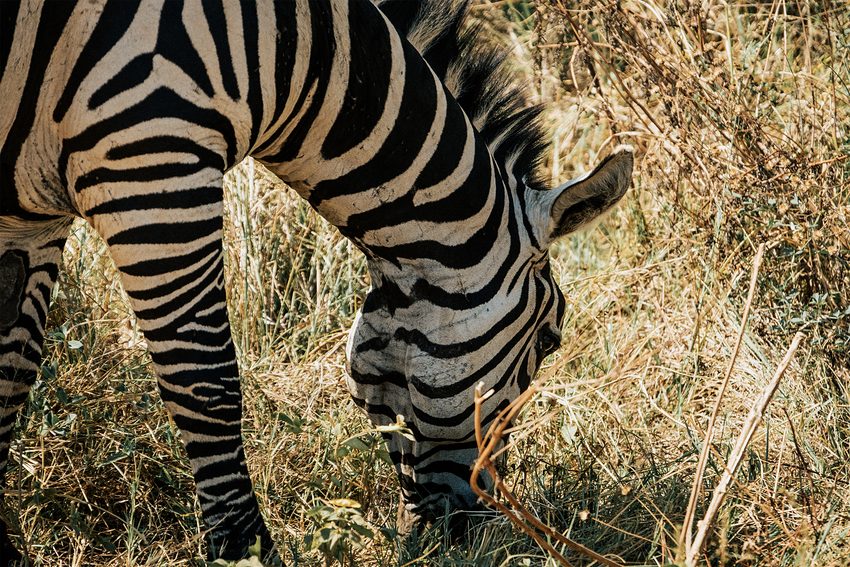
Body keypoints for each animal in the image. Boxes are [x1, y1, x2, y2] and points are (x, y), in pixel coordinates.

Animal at [0, 0, 633, 563]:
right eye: (549, 342)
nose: (473, 537)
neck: (297, 50)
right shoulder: (153, 160)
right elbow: (206, 381)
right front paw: (245, 552)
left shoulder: (32, 217)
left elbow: (12, 374)